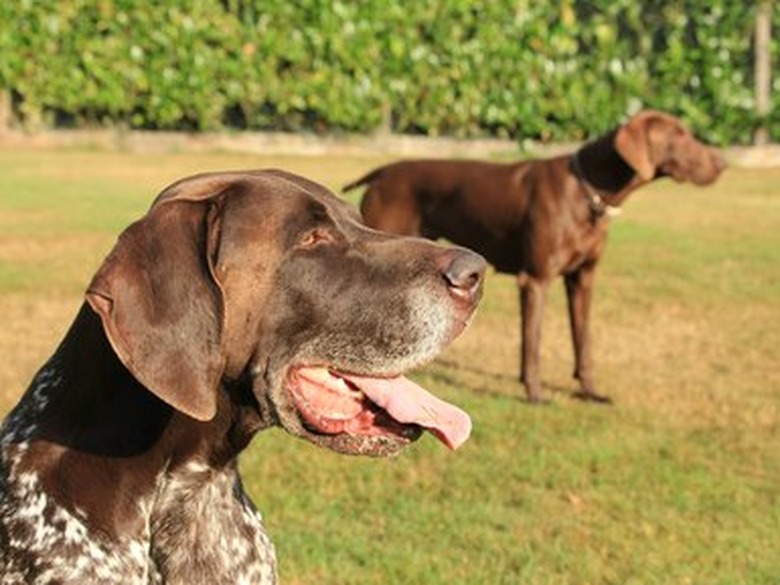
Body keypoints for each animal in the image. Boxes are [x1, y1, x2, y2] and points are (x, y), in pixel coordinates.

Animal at [348, 109, 724, 402]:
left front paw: (589, 391)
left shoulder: (583, 280)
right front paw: (535, 394)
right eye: (678, 136)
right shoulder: (535, 280)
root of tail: (383, 171)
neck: (586, 193)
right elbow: (534, 344)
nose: (722, 162)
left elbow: (583, 341)